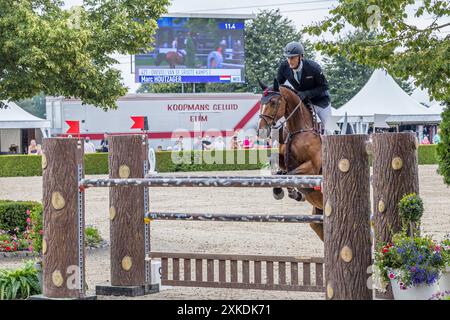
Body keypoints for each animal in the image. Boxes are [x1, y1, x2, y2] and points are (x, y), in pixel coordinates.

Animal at [256, 79, 324, 241]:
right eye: (261, 102)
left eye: (274, 102)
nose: (261, 131)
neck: (298, 131)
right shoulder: (283, 160)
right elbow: (279, 172)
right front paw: (281, 191)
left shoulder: (311, 167)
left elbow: (290, 174)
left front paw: (294, 193)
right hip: (318, 217)